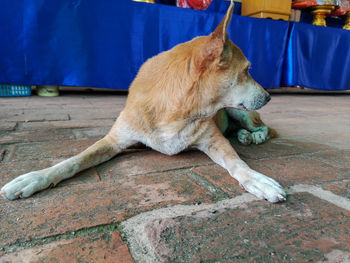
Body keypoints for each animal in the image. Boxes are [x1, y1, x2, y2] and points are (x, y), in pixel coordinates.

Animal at [1, 2, 286, 203]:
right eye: (247, 71)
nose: (270, 96)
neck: (177, 110)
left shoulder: (215, 141)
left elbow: (238, 163)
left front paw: (258, 180)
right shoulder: (114, 141)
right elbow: (73, 161)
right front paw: (34, 178)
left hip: (240, 113)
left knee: (267, 129)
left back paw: (254, 136)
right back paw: (245, 136)